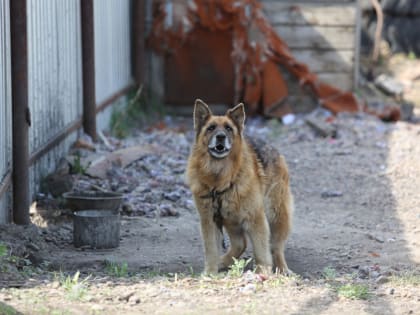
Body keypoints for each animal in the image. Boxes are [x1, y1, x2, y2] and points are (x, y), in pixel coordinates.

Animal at [185, 99, 294, 274]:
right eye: (211, 128)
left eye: (229, 128)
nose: (221, 137)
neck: (220, 178)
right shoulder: (210, 221)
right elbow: (211, 250)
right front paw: (210, 272)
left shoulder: (256, 218)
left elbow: (261, 250)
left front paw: (263, 272)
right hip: (230, 219)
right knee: (240, 243)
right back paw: (223, 261)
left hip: (276, 215)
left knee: (276, 247)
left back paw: (282, 268)